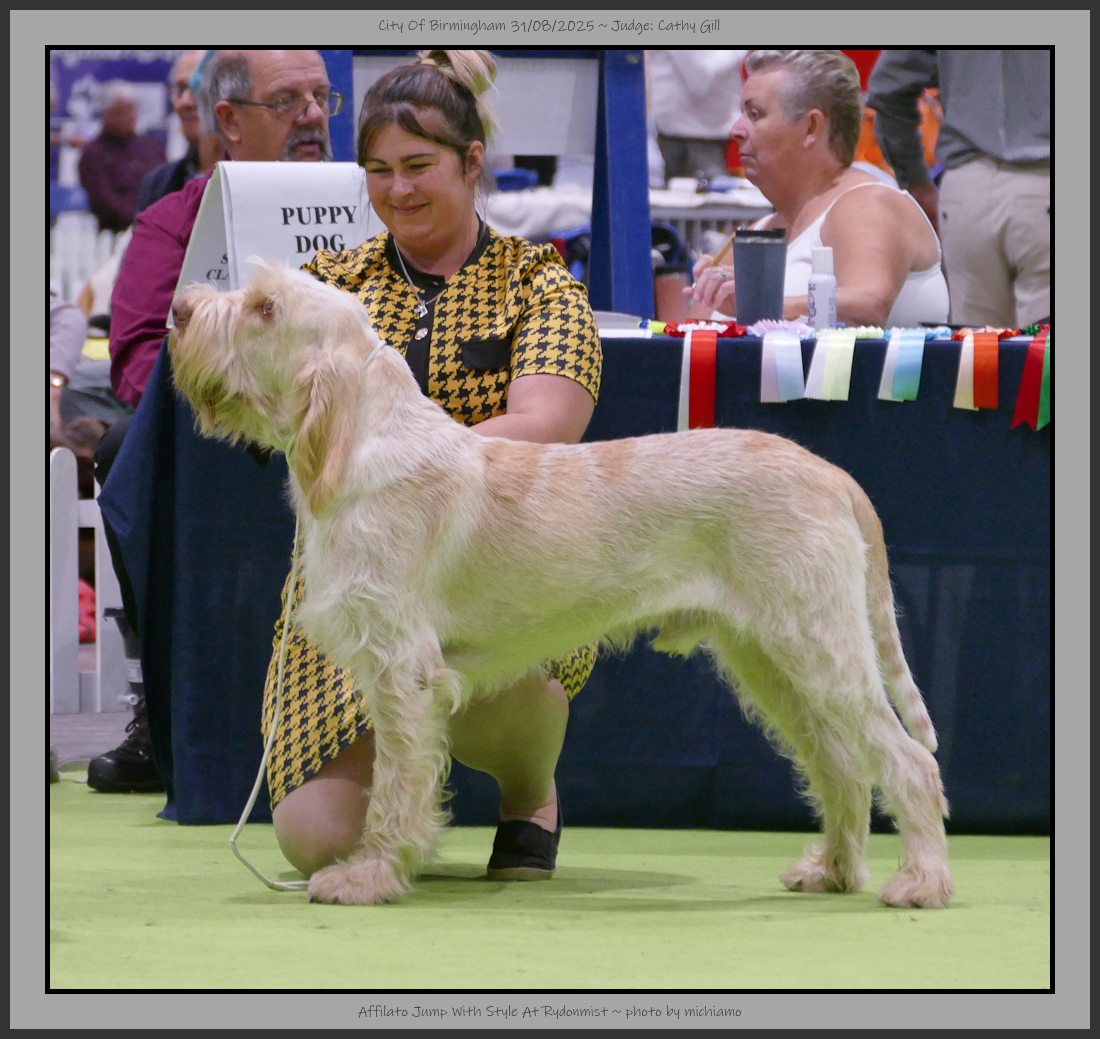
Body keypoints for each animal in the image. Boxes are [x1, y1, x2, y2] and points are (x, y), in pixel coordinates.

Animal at [168, 264, 954, 909]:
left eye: (265, 308)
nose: (179, 309)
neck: (362, 439)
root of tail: (830, 473)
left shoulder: (403, 673)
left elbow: (395, 786)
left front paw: (370, 876)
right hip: (770, 658)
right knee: (843, 766)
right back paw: (832, 870)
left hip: (821, 648)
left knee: (907, 761)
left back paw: (921, 883)